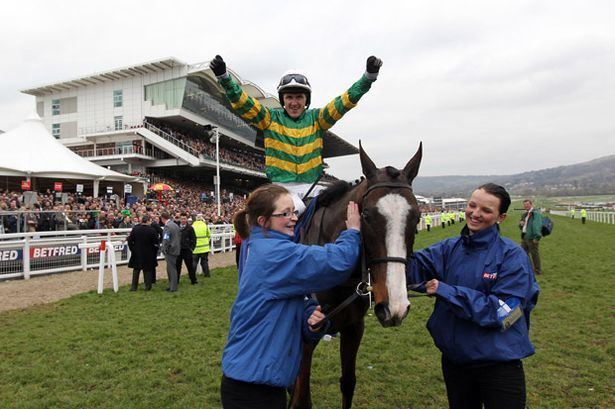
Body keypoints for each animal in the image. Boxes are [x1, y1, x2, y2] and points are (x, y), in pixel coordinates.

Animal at [288, 141, 424, 408]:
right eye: (367, 216)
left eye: (416, 217)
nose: (395, 307)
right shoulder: (305, 338)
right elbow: (302, 398)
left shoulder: (353, 329)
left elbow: (348, 384)